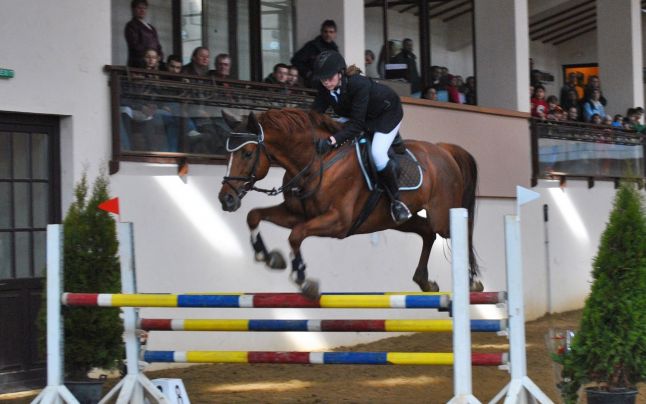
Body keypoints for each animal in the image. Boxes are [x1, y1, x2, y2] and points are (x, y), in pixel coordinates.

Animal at [220, 109, 478, 298]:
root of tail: (443, 149)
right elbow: (255, 216)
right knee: (427, 232)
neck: (315, 163)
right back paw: (424, 280)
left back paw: (473, 281)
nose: (225, 199)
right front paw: (267, 256)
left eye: (247, 153)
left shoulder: (338, 223)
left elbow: (296, 235)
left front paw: (303, 279)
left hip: (442, 215)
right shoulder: (297, 214)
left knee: (458, 234)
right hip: (396, 221)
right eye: (227, 154)